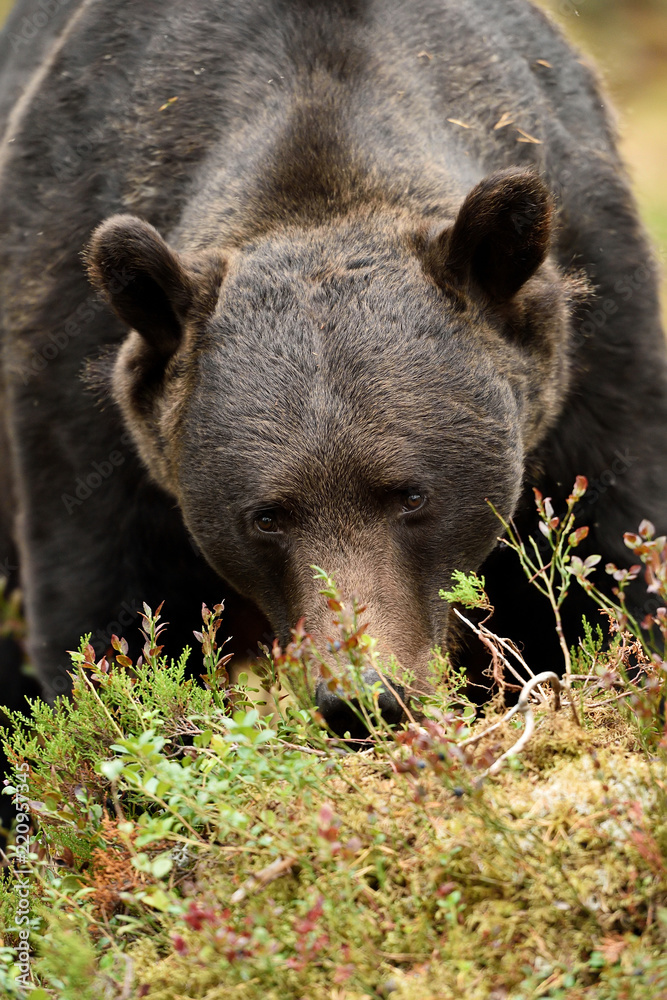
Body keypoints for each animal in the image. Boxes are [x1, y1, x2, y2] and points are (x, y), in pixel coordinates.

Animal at [1, 0, 667, 744]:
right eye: (266, 517)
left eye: (412, 495)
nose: (366, 697)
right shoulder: (74, 380)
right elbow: (107, 618)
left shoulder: (595, 345)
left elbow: (613, 558)